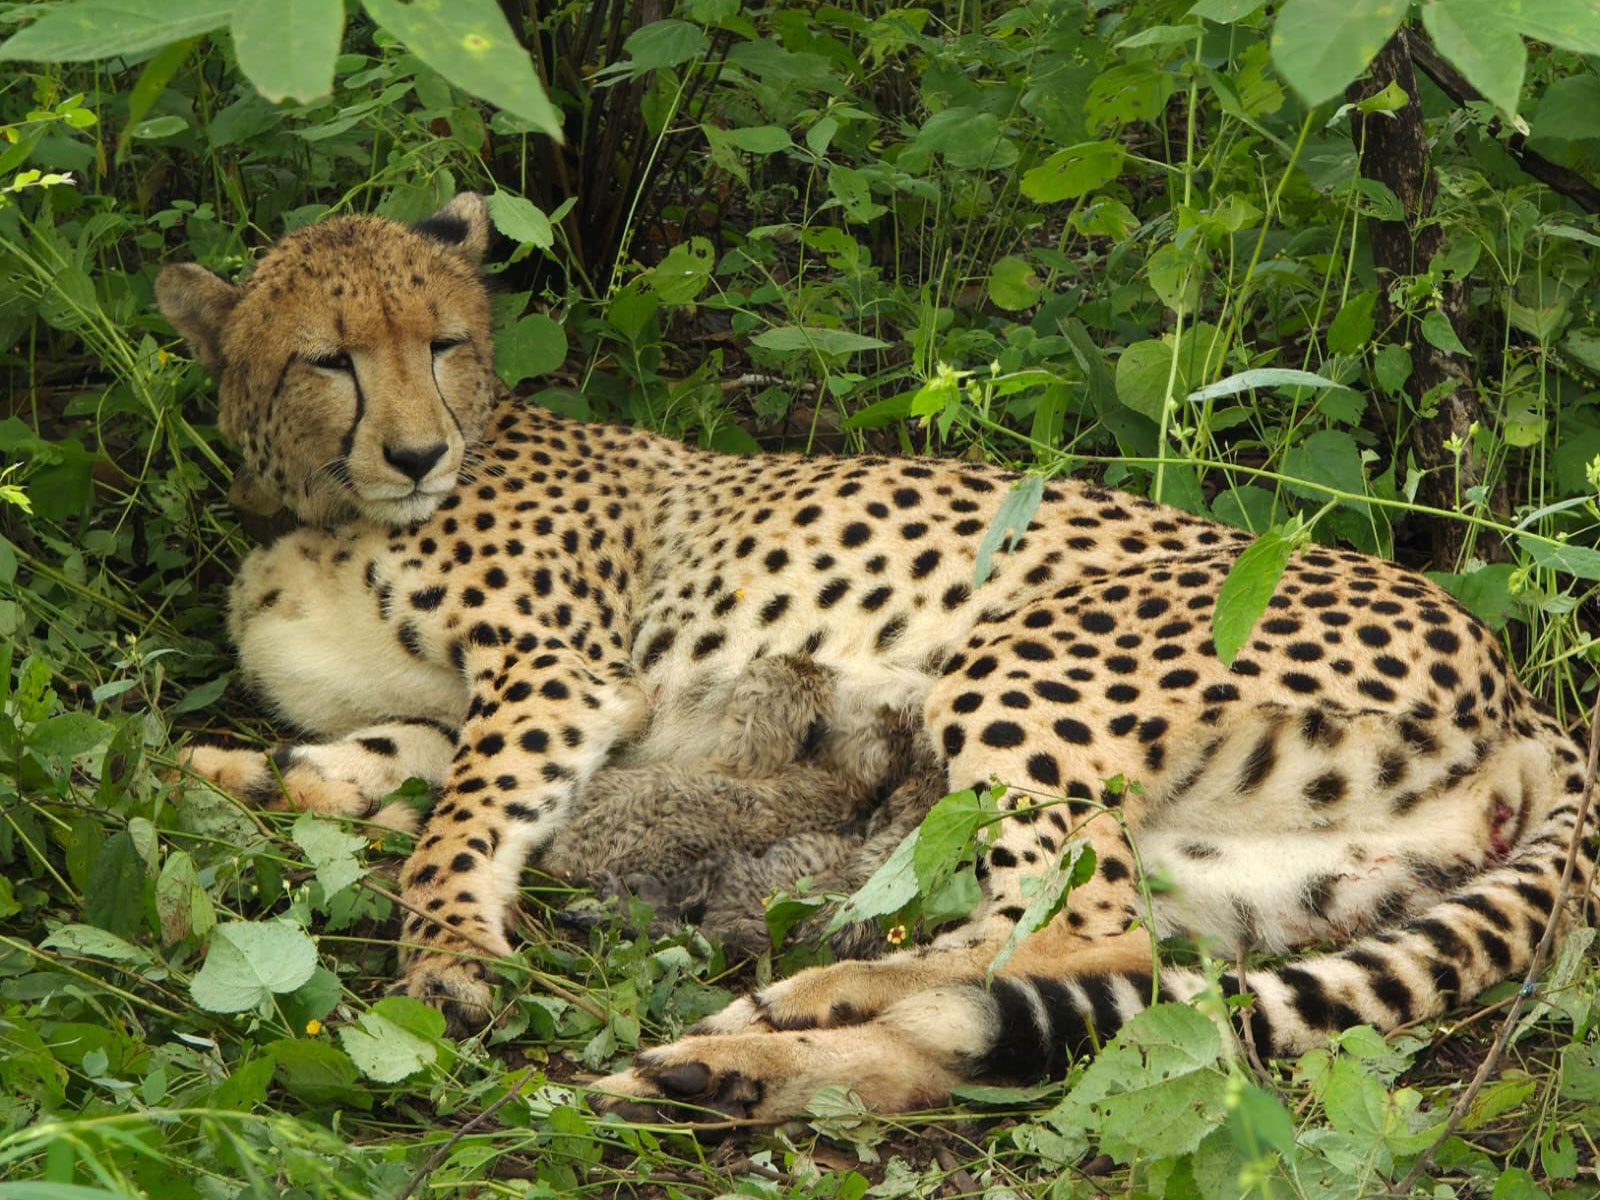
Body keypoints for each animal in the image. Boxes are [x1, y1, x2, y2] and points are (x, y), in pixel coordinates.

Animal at [157, 193, 1597, 1123]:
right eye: (328, 359)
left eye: (445, 344)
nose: (416, 452)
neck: (324, 511)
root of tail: (1526, 687)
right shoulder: (455, 710)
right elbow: (353, 767)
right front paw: (213, 776)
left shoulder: (557, 678)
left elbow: (455, 823)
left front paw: (447, 955)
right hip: (1261, 870)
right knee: (1099, 985)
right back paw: (748, 1059)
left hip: (1024, 663)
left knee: (1079, 942)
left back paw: (803, 999)